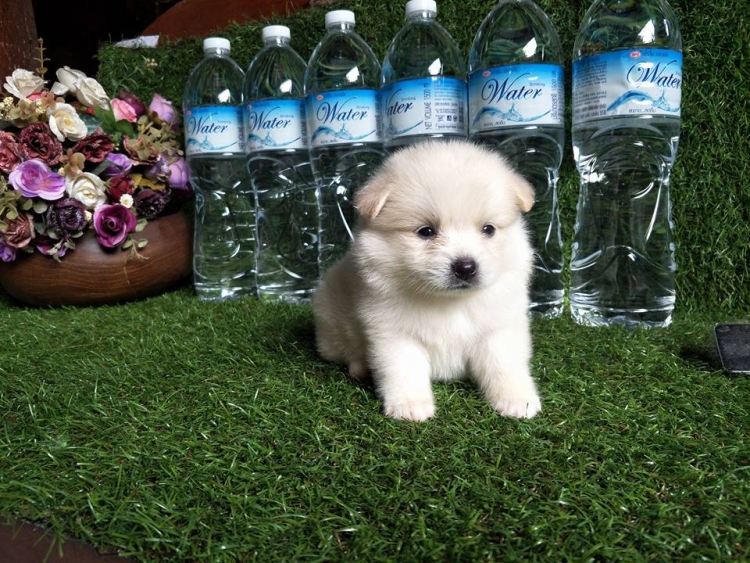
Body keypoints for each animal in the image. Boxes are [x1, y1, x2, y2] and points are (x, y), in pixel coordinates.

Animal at [312, 140, 541, 421]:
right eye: (426, 232)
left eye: (488, 229)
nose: (466, 267)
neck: (447, 302)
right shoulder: (393, 332)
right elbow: (403, 369)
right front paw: (410, 406)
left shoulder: (498, 327)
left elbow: (504, 364)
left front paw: (517, 400)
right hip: (330, 324)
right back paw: (360, 367)